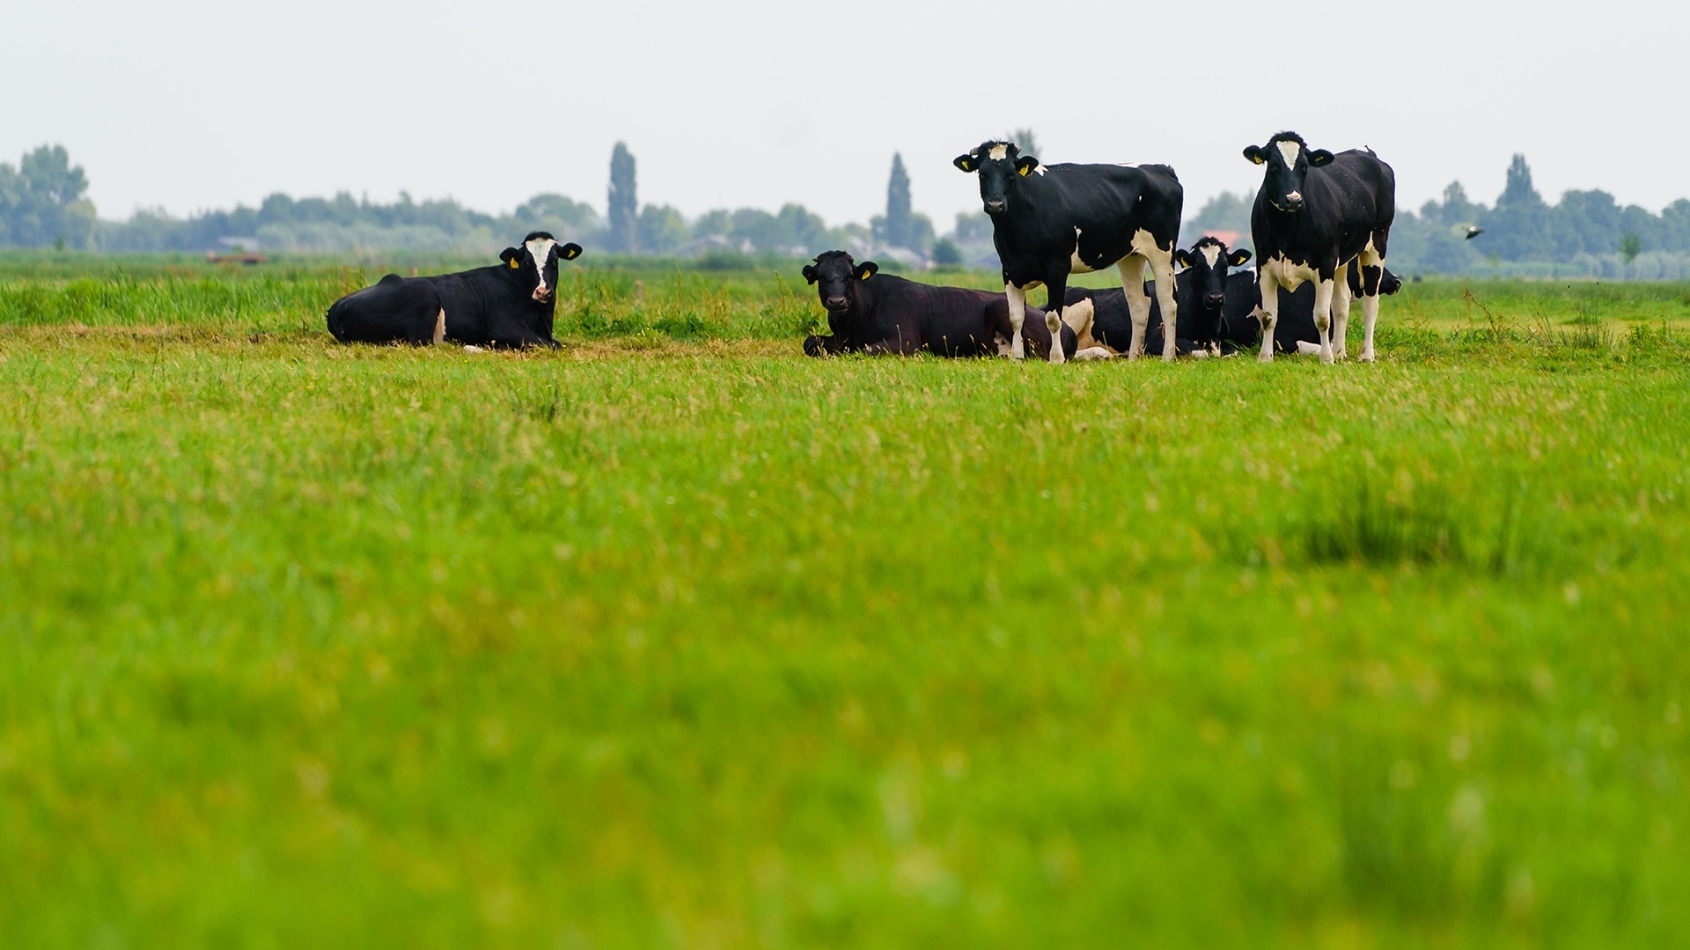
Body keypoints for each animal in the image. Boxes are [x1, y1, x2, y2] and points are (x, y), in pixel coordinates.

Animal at [326, 231, 584, 349]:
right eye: (527, 263)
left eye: (554, 261)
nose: (543, 292)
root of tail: (337, 304)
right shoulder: (503, 327)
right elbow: (552, 345)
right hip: (425, 295)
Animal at [801, 248, 1068, 358]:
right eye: (821, 277)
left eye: (849, 276)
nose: (837, 301)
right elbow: (809, 342)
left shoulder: (906, 340)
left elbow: (865, 349)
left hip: (1003, 308)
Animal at [959, 139, 1183, 361]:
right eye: (982, 173)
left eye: (1012, 174)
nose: (995, 204)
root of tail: (1161, 168)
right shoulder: (1009, 270)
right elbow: (1015, 317)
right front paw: (1017, 358)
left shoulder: (1057, 268)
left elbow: (1053, 318)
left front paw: (1057, 359)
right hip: (1131, 256)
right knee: (1139, 304)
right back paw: (1133, 359)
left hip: (1163, 251)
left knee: (1168, 302)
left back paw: (1168, 357)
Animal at [1061, 234, 1250, 356]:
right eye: (1197, 267)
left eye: (1225, 267)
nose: (1215, 298)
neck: (1209, 328)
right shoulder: (1156, 340)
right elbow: (1200, 352)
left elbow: (1232, 352)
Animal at [1243, 129, 1399, 358]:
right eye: (1273, 167)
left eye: (1304, 167)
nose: (1293, 199)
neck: (1286, 229)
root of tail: (1365, 152)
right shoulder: (1264, 265)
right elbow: (1269, 316)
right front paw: (1265, 358)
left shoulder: (1325, 265)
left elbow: (1322, 318)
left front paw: (1326, 358)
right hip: (1342, 259)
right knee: (1341, 303)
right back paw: (1340, 353)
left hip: (1377, 244)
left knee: (1371, 303)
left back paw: (1366, 355)